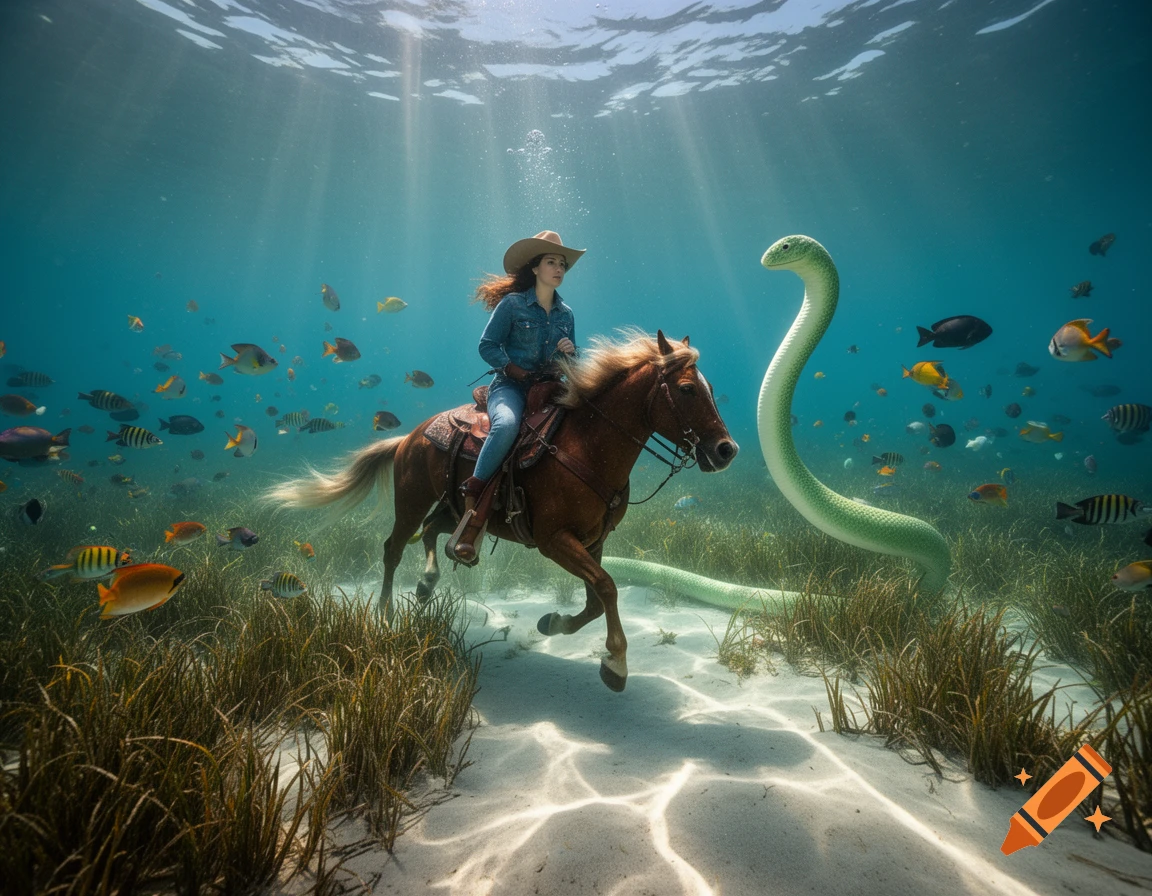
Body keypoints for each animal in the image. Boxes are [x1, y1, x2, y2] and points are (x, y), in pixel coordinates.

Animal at [266, 330, 738, 691]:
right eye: (687, 389)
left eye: (711, 390)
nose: (726, 450)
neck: (586, 445)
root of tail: (408, 437)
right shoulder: (554, 541)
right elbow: (607, 588)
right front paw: (616, 664)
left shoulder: (594, 541)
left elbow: (597, 597)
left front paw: (553, 623)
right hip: (411, 501)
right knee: (393, 548)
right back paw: (384, 613)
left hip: (456, 508)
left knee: (434, 532)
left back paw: (427, 581)